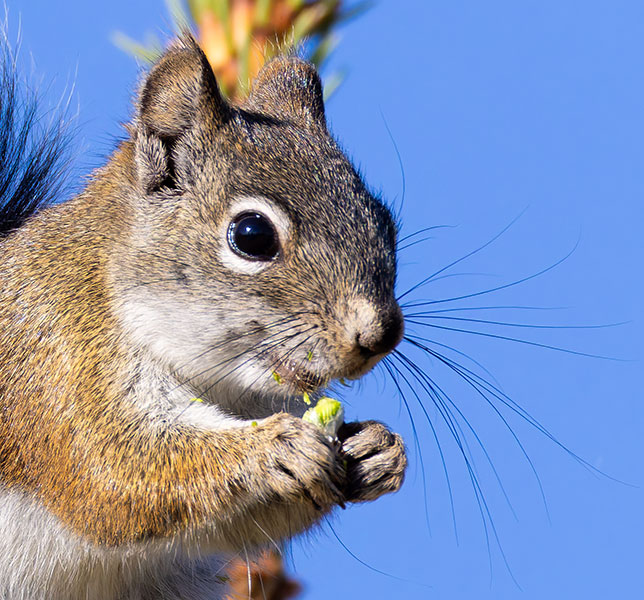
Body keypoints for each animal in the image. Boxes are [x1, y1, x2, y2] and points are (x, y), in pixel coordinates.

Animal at [0, 35, 407, 600]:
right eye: (252, 234)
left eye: (385, 223)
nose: (379, 335)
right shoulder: (61, 360)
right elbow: (113, 467)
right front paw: (272, 446)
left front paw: (378, 448)